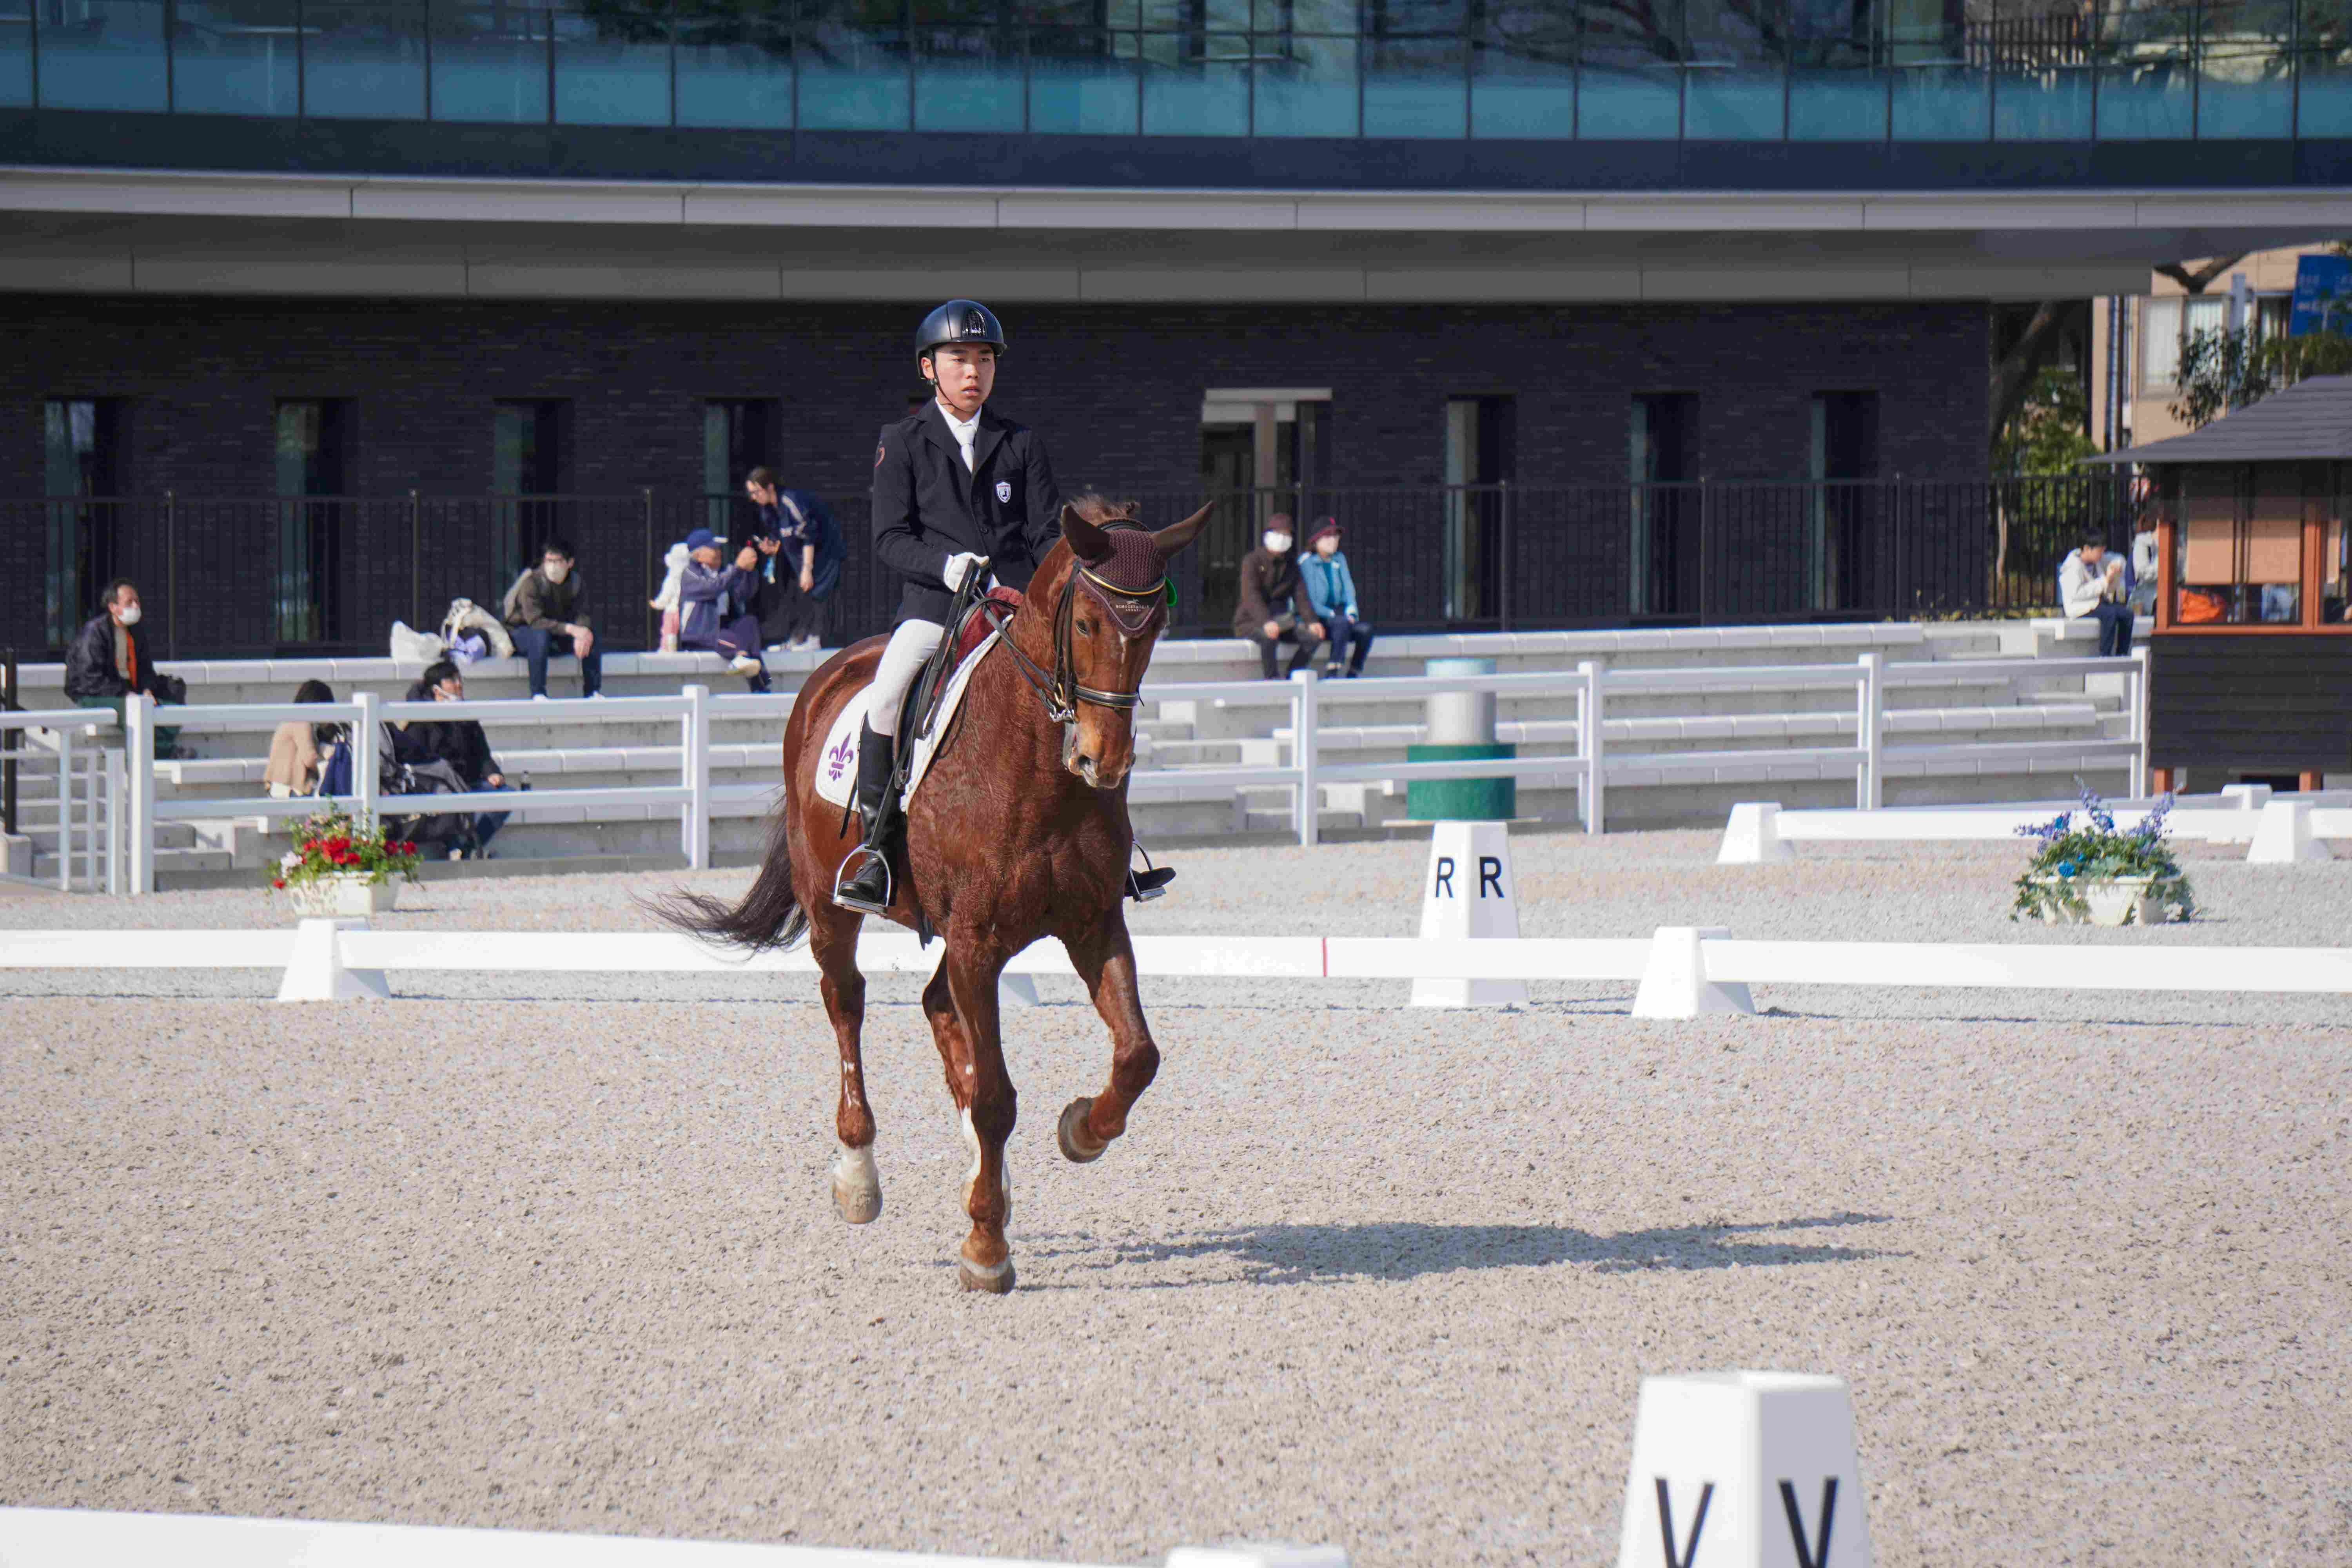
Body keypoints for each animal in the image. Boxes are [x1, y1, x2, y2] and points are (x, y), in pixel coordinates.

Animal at [660, 497, 1210, 1295]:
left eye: (1156, 629)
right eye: (1085, 625)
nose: (1101, 761)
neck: (1037, 769)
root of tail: (833, 670)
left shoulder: (1092, 923)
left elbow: (1138, 1055)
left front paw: (1080, 1132)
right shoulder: (977, 939)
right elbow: (996, 1098)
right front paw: (986, 1249)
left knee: (936, 1008)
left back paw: (991, 1183)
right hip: (834, 909)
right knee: (847, 1004)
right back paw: (860, 1178)